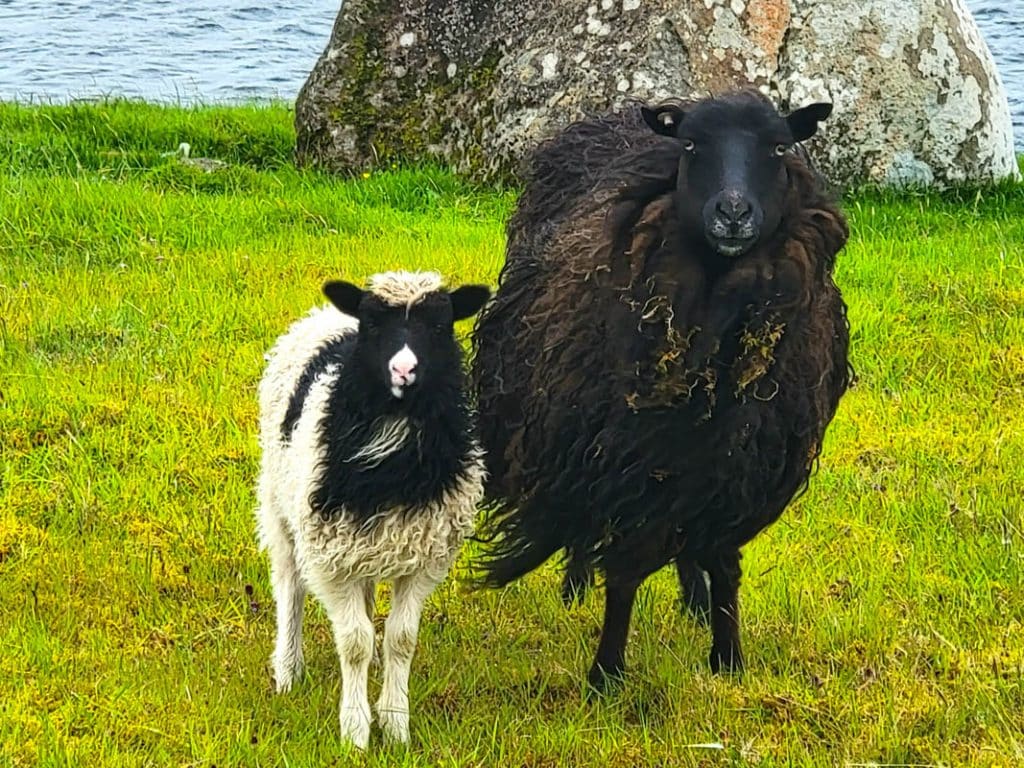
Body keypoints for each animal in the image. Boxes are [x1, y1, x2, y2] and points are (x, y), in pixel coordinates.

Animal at [255, 270, 490, 747]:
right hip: (280, 503)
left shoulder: (424, 557)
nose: (404, 370)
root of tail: (325, 315)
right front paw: (355, 732)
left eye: (440, 326)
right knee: (289, 586)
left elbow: (401, 639)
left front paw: (396, 723)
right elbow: (354, 643)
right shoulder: (330, 557)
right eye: (373, 325)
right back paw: (288, 670)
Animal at [471, 90, 852, 690]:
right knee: (587, 529)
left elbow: (724, 563)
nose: (733, 213)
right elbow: (625, 571)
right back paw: (575, 587)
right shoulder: (626, 464)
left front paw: (728, 659)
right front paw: (605, 676)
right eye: (692, 144)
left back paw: (693, 600)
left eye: (779, 146)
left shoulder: (736, 471)